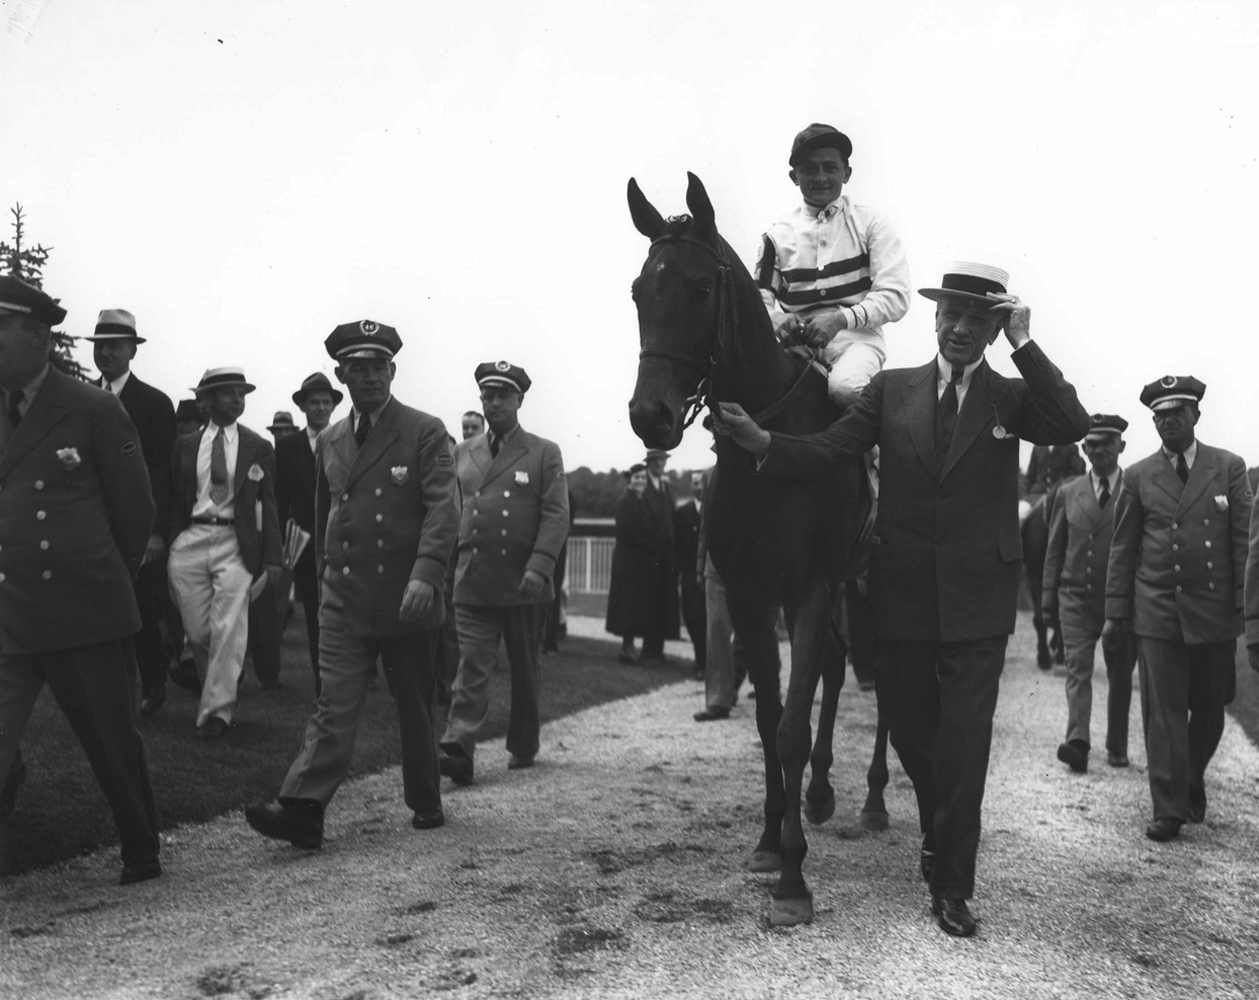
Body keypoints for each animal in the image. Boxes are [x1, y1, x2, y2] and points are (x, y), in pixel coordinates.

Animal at [626, 173, 881, 926]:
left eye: (697, 289)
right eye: (638, 291)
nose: (648, 415)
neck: (776, 441)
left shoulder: (812, 585)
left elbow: (792, 722)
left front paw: (795, 878)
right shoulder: (750, 591)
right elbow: (771, 719)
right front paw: (772, 840)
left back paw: (875, 798)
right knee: (835, 665)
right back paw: (820, 794)